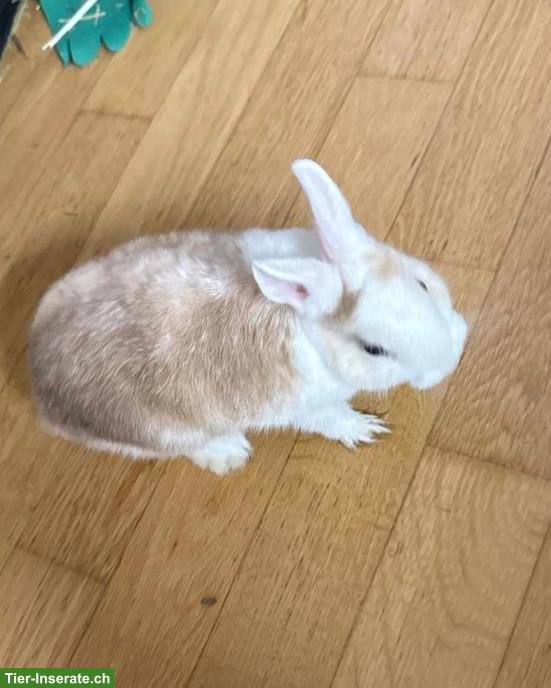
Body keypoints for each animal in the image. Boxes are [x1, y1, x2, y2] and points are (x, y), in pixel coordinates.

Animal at [29, 159, 467, 475]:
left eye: (422, 284)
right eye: (373, 349)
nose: (450, 360)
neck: (307, 330)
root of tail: (35, 372)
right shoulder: (310, 408)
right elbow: (331, 419)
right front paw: (365, 429)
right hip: (161, 431)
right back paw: (229, 453)